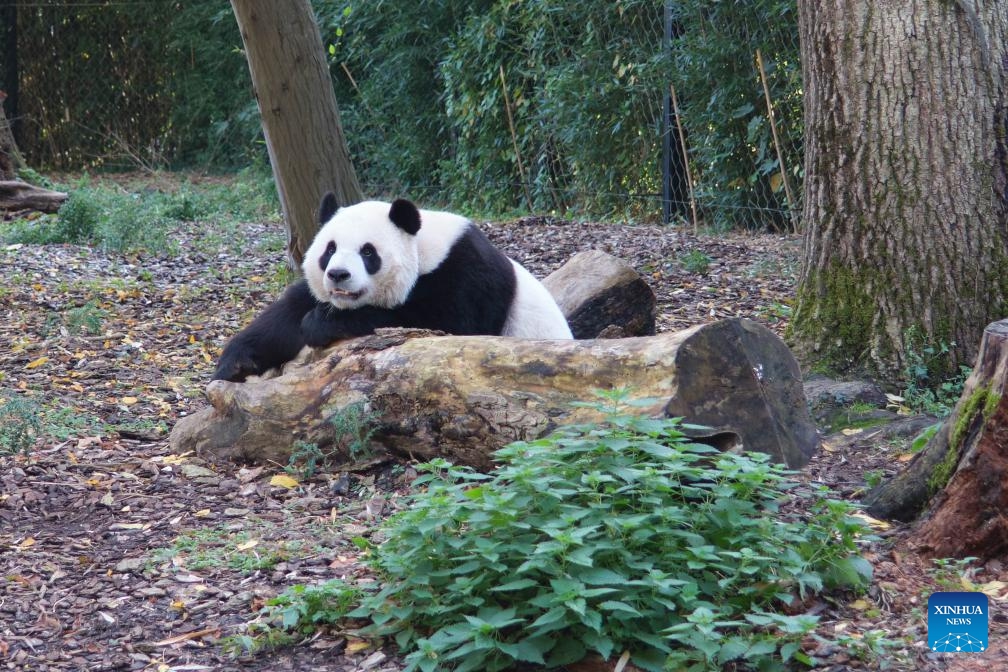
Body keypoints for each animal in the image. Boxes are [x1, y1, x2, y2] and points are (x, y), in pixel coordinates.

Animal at [213, 194, 572, 382]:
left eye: (368, 252)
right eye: (329, 249)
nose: (338, 274)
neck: (424, 249)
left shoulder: (466, 276)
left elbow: (444, 325)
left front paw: (320, 324)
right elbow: (285, 316)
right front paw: (235, 363)